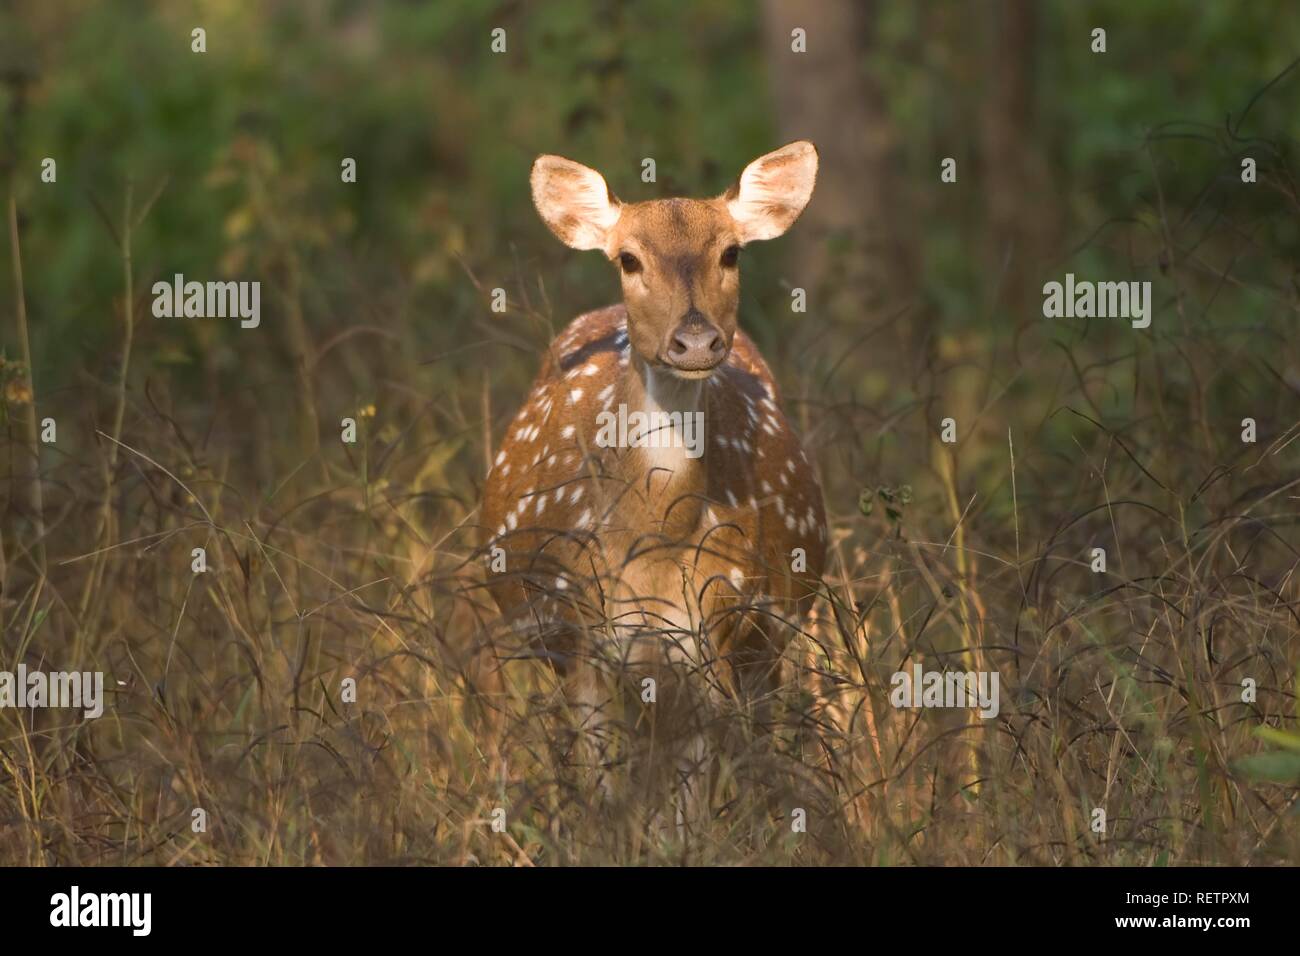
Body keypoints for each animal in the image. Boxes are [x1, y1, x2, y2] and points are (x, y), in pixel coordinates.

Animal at [480, 141, 826, 814]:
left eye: (732, 251)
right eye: (629, 258)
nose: (694, 341)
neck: (654, 543)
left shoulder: (713, 623)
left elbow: (690, 799)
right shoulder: (584, 631)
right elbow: (604, 787)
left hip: (771, 635)